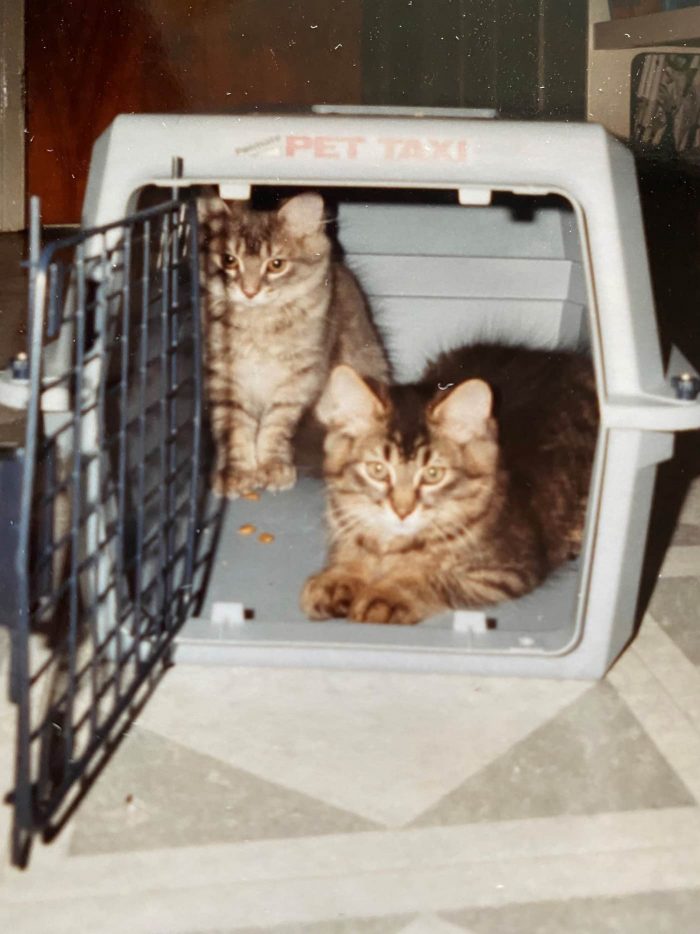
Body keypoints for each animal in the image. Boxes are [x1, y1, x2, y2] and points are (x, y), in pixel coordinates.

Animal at [200, 190, 392, 498]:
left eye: (276, 264)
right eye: (229, 260)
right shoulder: (223, 377)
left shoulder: (297, 381)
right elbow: (235, 429)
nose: (249, 291)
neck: (259, 324)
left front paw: (272, 466)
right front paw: (237, 472)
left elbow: (274, 429)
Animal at [300, 340, 596, 624]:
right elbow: (349, 551)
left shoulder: (506, 570)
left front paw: (389, 594)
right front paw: (337, 579)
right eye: (377, 470)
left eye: (433, 474)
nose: (402, 511)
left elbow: (431, 579)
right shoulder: (344, 526)